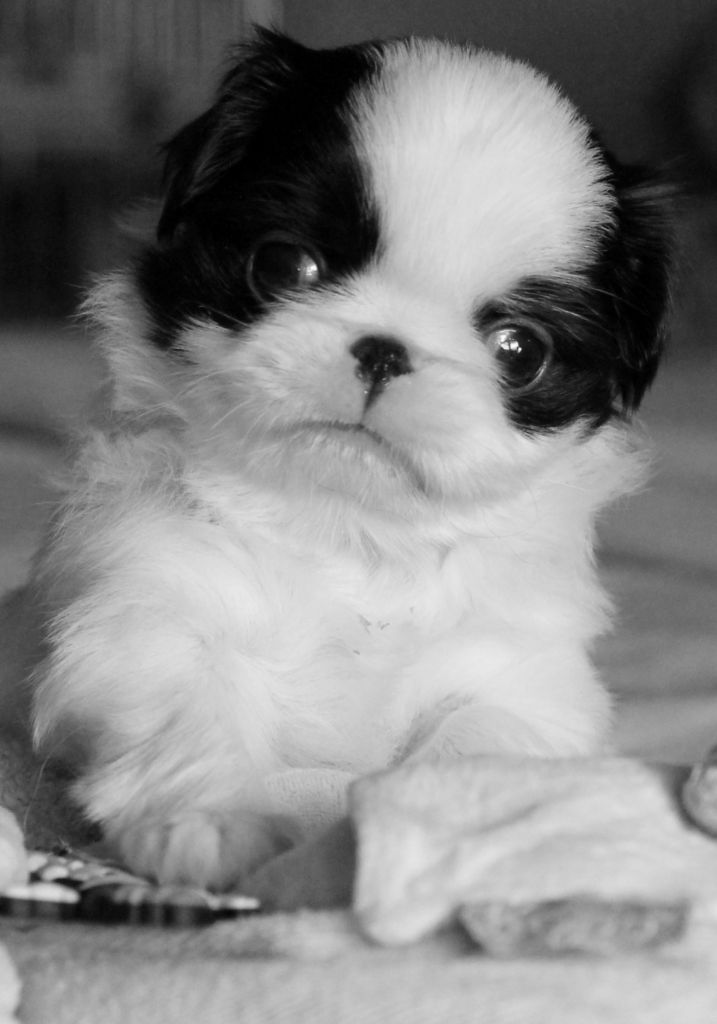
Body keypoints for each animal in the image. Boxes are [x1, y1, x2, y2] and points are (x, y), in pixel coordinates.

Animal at [15, 29, 671, 889]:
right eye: (285, 265)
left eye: (519, 351)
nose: (385, 351)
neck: (350, 537)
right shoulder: (144, 613)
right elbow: (190, 706)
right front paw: (211, 821)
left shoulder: (524, 680)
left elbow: (475, 750)